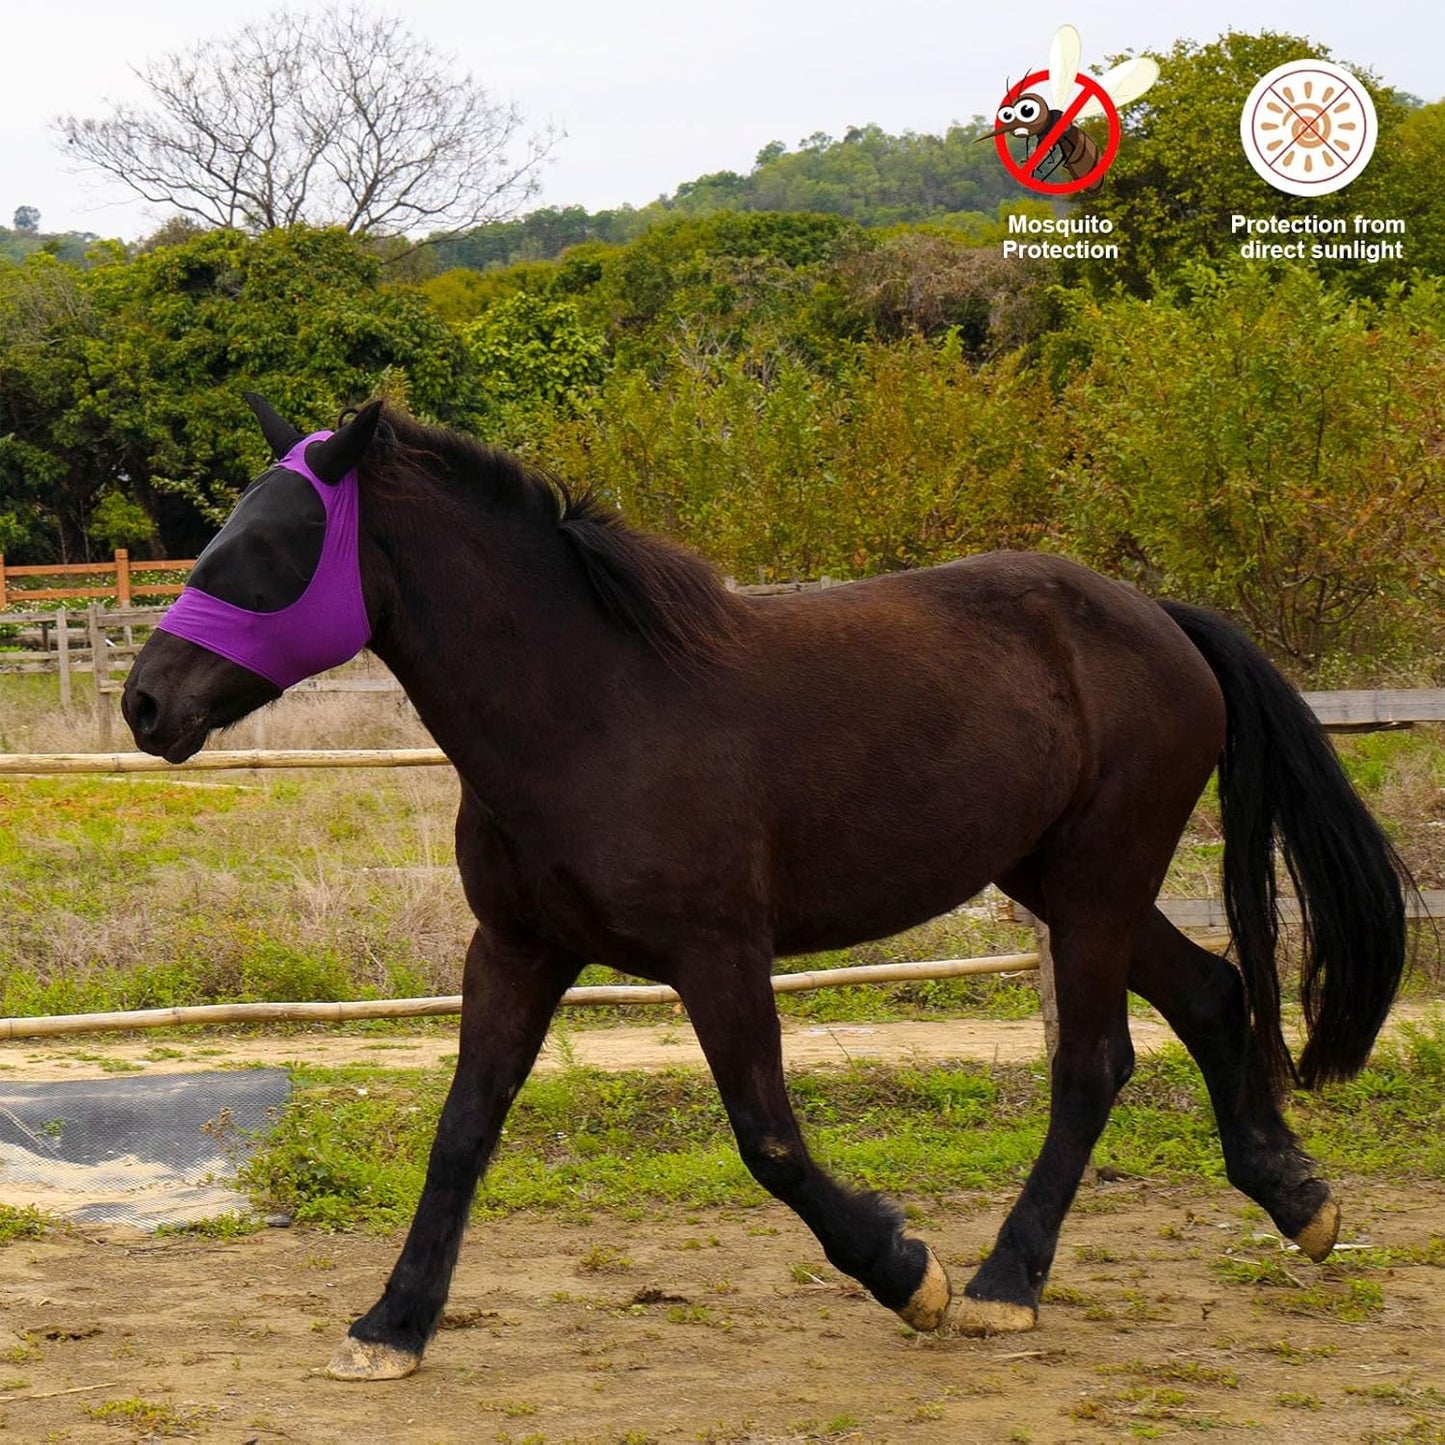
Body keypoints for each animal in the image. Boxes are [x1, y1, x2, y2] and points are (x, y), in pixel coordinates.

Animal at [122, 396, 1409, 1381]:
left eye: (266, 547)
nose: (144, 702)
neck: (591, 713)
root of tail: (1161, 619)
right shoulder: (517, 950)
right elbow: (462, 1130)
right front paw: (390, 1325)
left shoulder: (718, 955)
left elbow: (770, 1143)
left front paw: (907, 1270)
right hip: (1066, 879)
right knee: (1211, 992)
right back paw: (1296, 1199)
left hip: (1096, 881)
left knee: (1093, 1063)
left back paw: (1003, 1278)